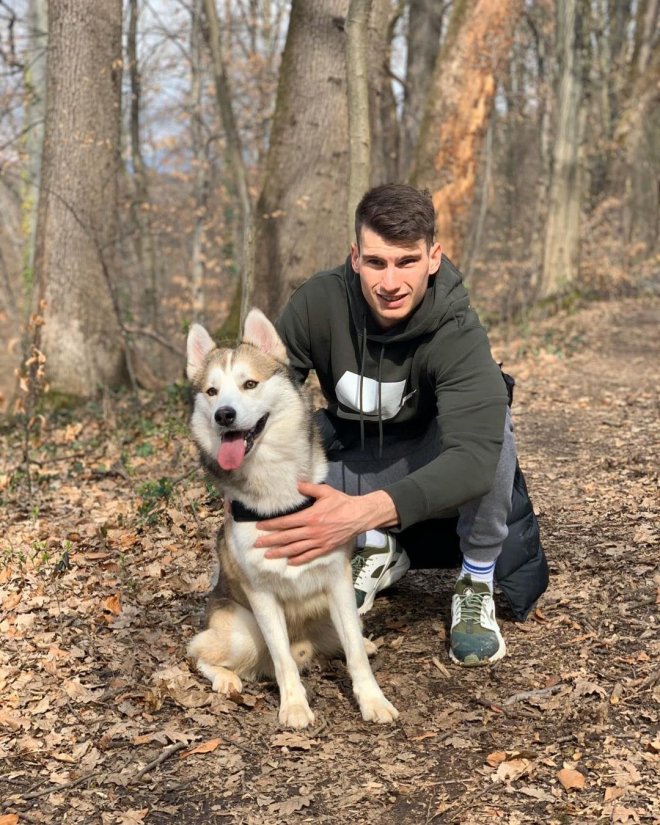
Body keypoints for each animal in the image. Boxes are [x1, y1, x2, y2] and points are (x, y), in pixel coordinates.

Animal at [185, 308, 399, 729]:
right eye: (212, 392)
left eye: (250, 383)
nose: (224, 415)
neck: (277, 497)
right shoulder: (262, 596)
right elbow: (283, 660)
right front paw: (295, 707)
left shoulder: (337, 583)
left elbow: (355, 654)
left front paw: (372, 700)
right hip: (243, 633)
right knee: (199, 652)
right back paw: (226, 680)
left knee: (347, 640)